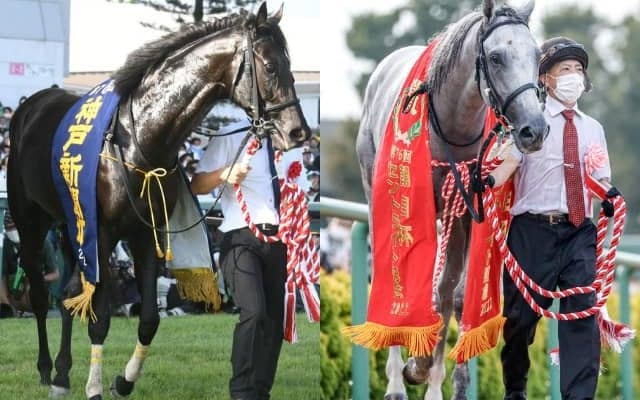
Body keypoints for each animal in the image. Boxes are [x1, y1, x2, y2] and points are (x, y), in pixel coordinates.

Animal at [8, 3, 310, 399]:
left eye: (290, 65)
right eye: (271, 66)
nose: (297, 131)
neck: (138, 142)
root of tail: (30, 105)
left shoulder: (146, 231)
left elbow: (149, 318)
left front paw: (123, 380)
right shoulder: (104, 234)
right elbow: (100, 316)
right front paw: (95, 386)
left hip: (72, 225)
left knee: (69, 295)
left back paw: (62, 372)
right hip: (32, 221)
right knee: (43, 295)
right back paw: (47, 370)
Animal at [355, 1, 547, 399]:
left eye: (537, 55)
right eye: (495, 56)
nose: (534, 130)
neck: (450, 128)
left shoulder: (466, 208)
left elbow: (453, 295)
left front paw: (434, 376)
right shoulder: (412, 205)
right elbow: (405, 277)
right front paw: (407, 371)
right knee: (387, 270)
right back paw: (397, 380)